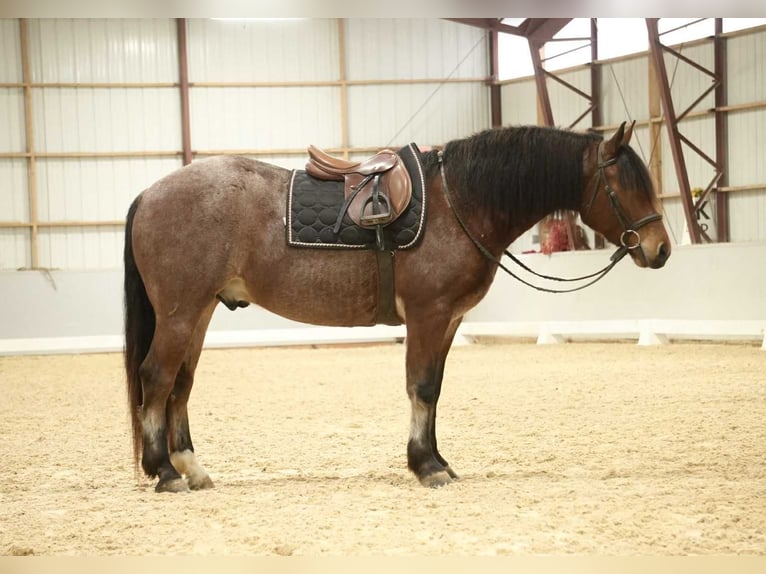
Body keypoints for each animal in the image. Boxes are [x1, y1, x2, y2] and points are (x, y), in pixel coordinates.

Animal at [123, 121, 670, 492]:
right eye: (623, 186)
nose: (660, 249)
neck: (458, 203)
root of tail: (150, 192)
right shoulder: (428, 314)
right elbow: (421, 388)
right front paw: (426, 466)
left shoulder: (448, 321)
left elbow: (435, 390)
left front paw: (438, 459)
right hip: (179, 313)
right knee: (156, 378)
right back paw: (164, 471)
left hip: (199, 313)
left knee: (180, 384)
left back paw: (191, 467)